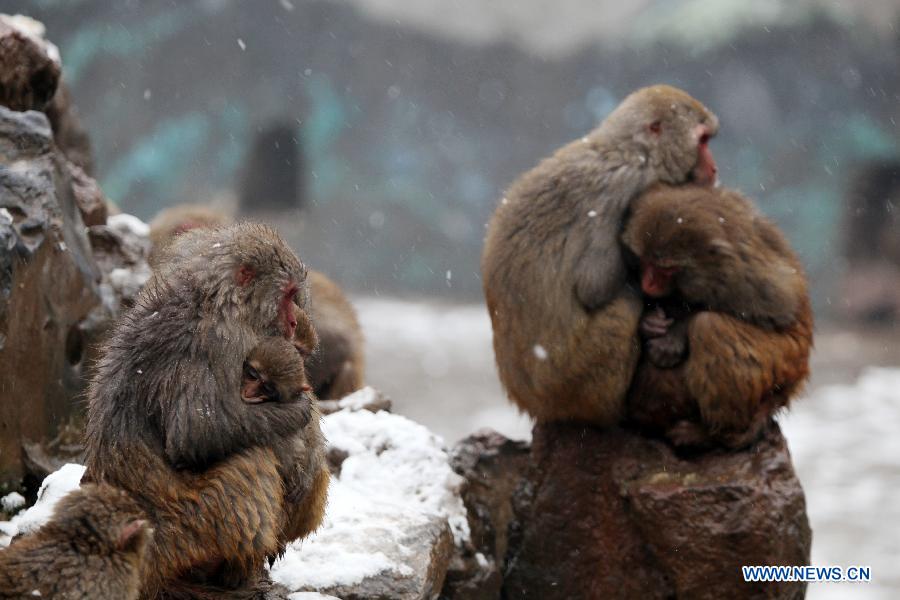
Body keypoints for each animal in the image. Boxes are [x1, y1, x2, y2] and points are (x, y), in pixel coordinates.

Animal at [83, 223, 312, 592]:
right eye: (288, 295)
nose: (293, 323)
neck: (220, 299)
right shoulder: (222, 339)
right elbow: (195, 432)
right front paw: (301, 412)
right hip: (193, 527)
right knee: (252, 460)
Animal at [482, 84, 720, 424]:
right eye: (701, 141)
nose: (714, 168)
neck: (635, 152)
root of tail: (526, 400)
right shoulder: (625, 189)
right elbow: (593, 286)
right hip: (574, 381)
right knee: (624, 306)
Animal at [624, 185, 812, 448]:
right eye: (646, 261)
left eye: (666, 269)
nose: (648, 283)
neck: (712, 271)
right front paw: (650, 321)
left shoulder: (747, 277)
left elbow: (779, 312)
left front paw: (676, 334)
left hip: (786, 359)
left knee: (710, 327)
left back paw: (716, 434)